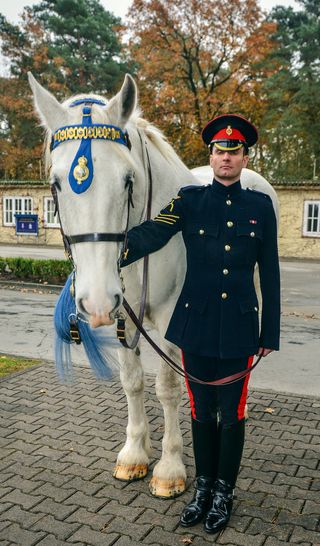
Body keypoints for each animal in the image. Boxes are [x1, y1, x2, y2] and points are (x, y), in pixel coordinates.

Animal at [28, 72, 278, 498]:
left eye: (128, 180)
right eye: (56, 183)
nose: (95, 300)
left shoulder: (173, 314)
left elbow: (167, 386)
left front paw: (170, 466)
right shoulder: (122, 315)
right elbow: (132, 382)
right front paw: (134, 453)